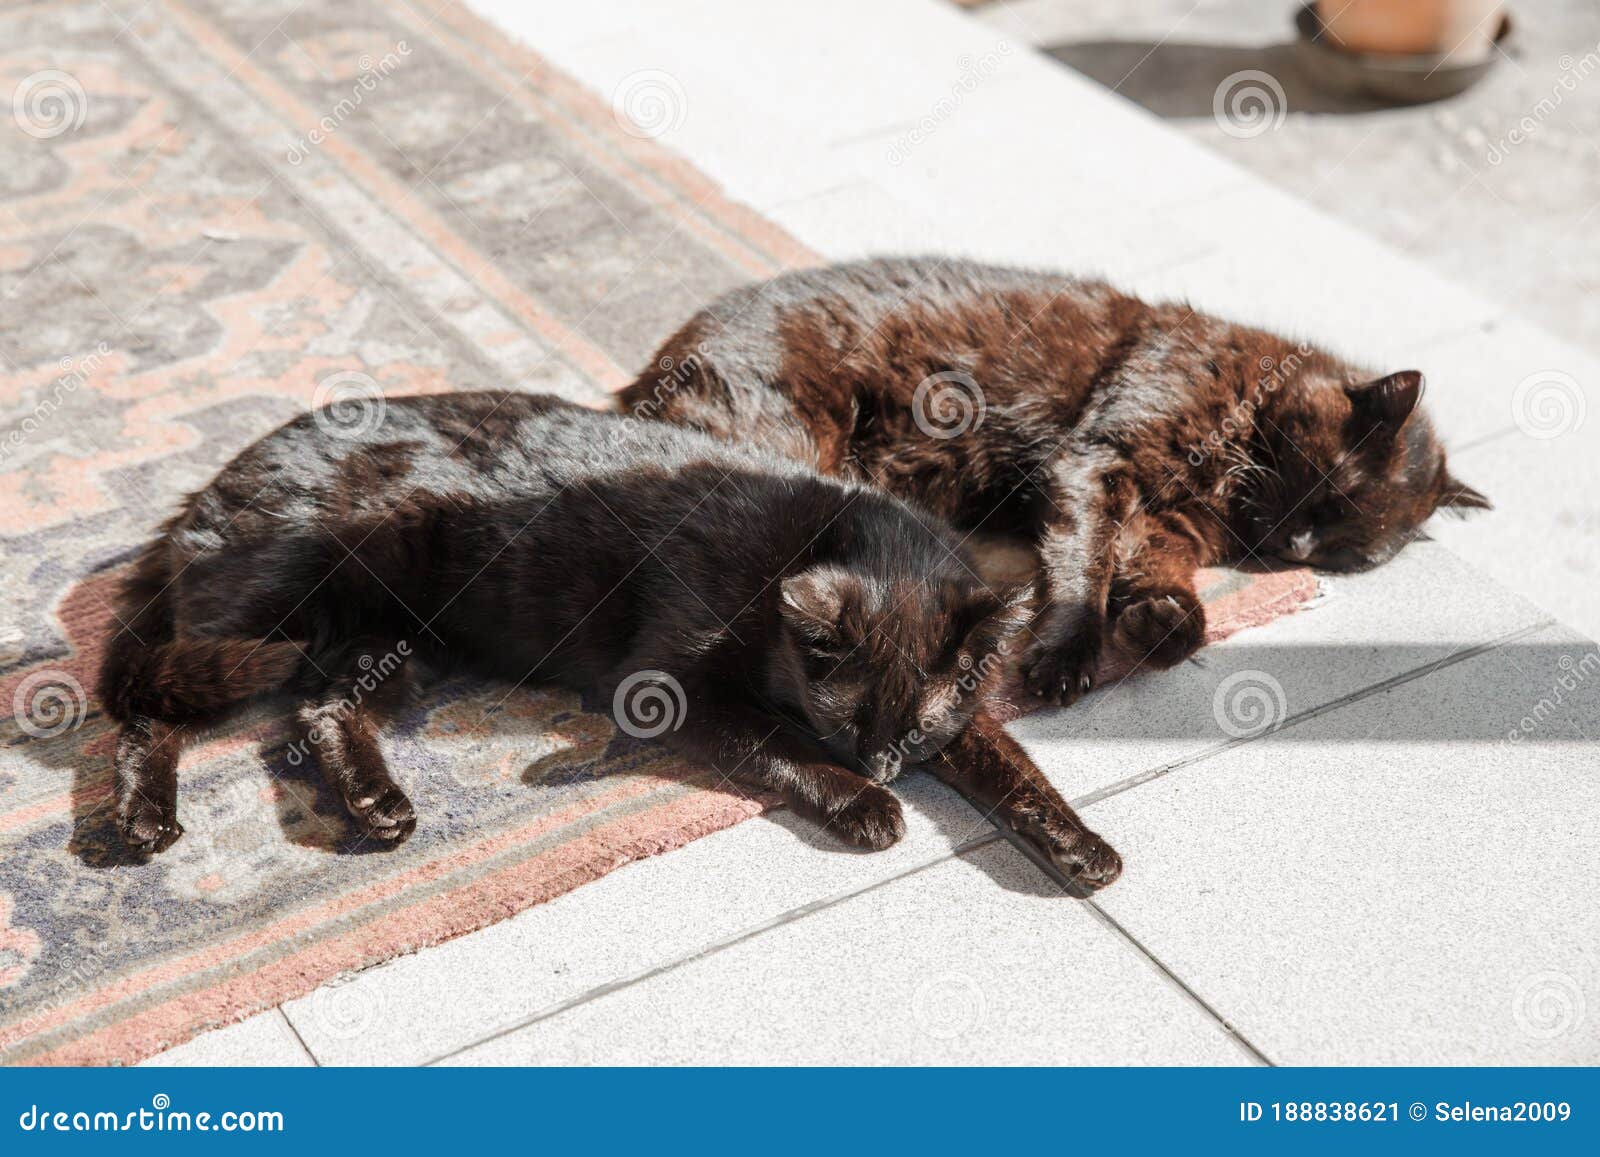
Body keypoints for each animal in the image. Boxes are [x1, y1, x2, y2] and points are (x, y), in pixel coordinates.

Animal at [617, 257, 1491, 707]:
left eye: (1349, 555)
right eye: (1333, 491)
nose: (1299, 549)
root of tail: (654, 367)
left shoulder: (1162, 525)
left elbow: (1151, 578)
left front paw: (1163, 622)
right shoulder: (1100, 461)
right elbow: (1083, 566)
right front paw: (1067, 655)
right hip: (794, 440)